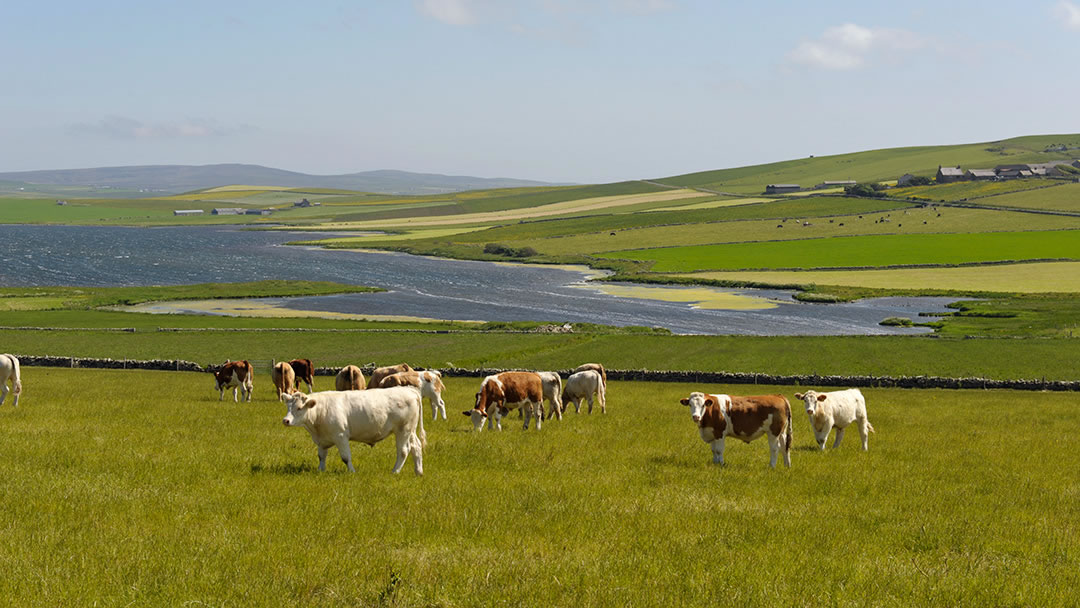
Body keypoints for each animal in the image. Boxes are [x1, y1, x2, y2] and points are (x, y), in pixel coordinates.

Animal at [278, 388, 425, 477]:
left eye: (299, 408)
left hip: (403, 430)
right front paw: (320, 470)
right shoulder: (322, 440)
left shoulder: (341, 436)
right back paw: (418, 472)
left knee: (403, 450)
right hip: (411, 431)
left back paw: (395, 471)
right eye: (288, 407)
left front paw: (352, 472)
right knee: (416, 447)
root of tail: (409, 390)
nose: (285, 420)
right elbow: (321, 456)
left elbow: (345, 457)